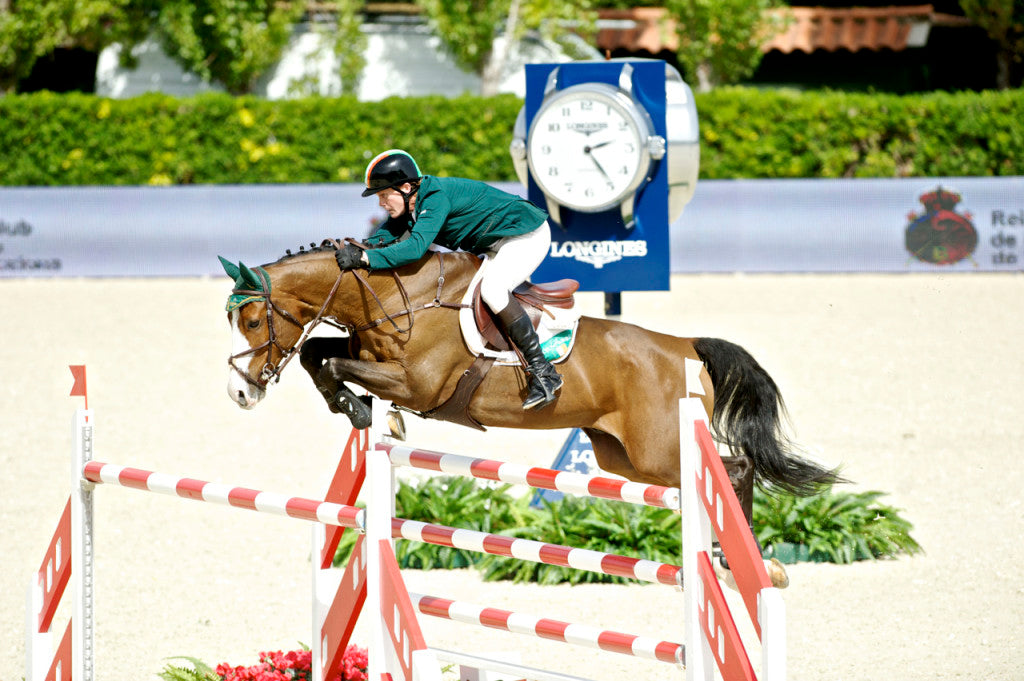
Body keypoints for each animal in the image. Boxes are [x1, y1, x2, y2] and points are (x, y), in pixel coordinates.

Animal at [222, 242, 839, 585]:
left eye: (252, 321)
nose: (240, 395)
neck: (394, 295)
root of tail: (685, 347)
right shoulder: (364, 353)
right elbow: (316, 354)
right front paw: (356, 409)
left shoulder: (419, 383)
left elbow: (328, 361)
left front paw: (361, 408)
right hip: (622, 458)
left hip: (661, 451)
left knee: (736, 468)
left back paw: (746, 562)